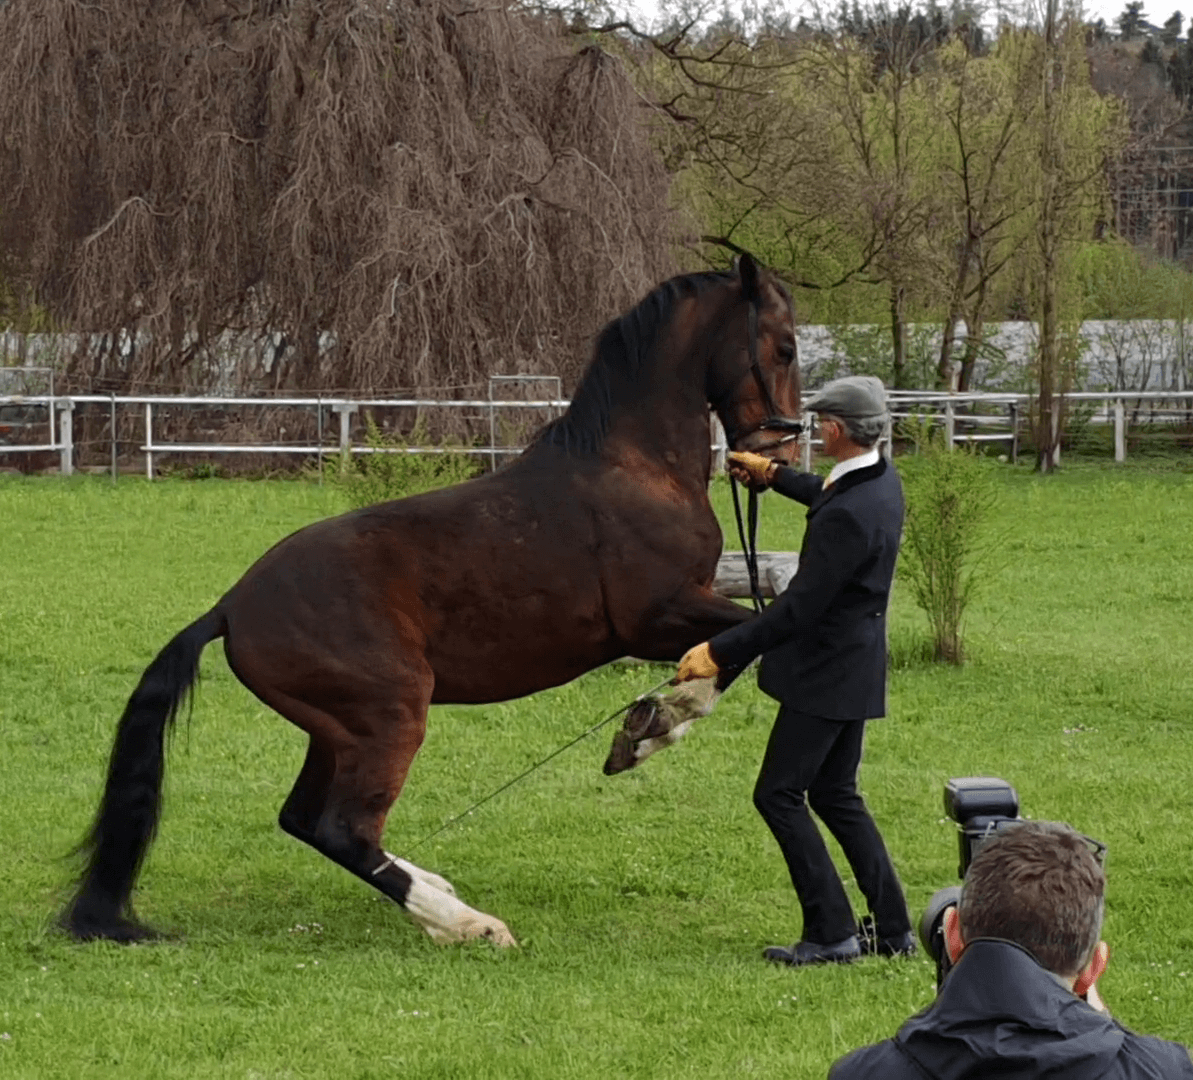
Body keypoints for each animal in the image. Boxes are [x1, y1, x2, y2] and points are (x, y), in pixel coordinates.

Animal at [60, 252, 796, 945]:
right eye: (785, 347)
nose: (776, 452)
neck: (633, 468)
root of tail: (231, 606)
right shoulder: (655, 616)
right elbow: (738, 645)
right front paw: (648, 728)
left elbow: (734, 647)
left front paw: (647, 724)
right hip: (390, 714)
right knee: (343, 828)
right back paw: (466, 923)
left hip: (337, 730)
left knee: (304, 818)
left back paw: (436, 892)